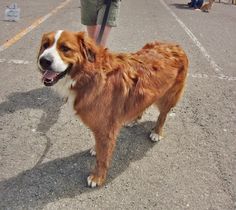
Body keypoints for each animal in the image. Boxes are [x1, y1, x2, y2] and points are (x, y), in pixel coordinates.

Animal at [37, 30, 188, 188]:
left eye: (65, 48)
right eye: (45, 45)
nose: (43, 61)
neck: (89, 76)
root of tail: (175, 46)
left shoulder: (106, 128)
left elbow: (102, 158)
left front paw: (97, 177)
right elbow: (100, 147)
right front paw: (96, 149)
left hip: (167, 97)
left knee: (163, 115)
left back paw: (157, 132)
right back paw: (134, 119)